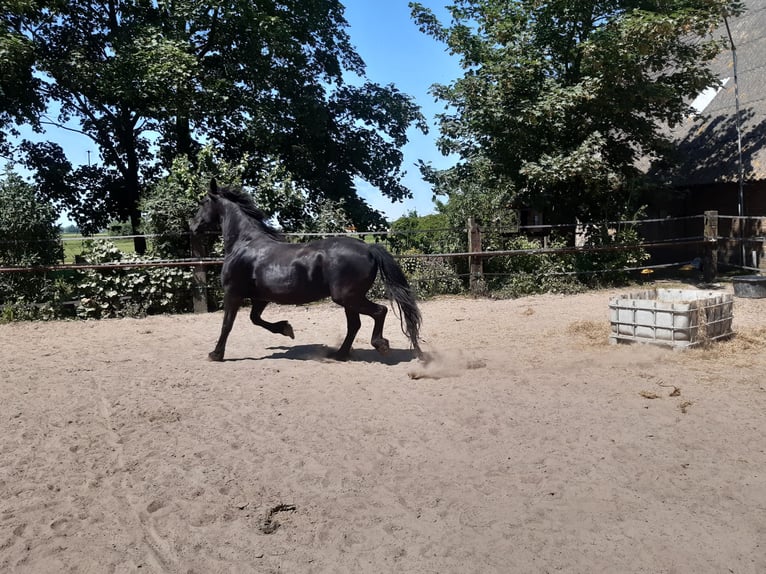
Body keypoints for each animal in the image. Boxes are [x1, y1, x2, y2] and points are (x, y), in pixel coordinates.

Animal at [189, 180, 424, 362]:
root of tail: (368, 247)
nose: (192, 226)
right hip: (350, 299)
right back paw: (339, 355)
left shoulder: (233, 293)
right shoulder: (260, 297)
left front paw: (215, 354)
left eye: (203, 202)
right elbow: (255, 319)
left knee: (379, 312)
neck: (244, 244)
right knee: (354, 325)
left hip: (347, 297)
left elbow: (227, 324)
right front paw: (286, 329)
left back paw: (380, 345)